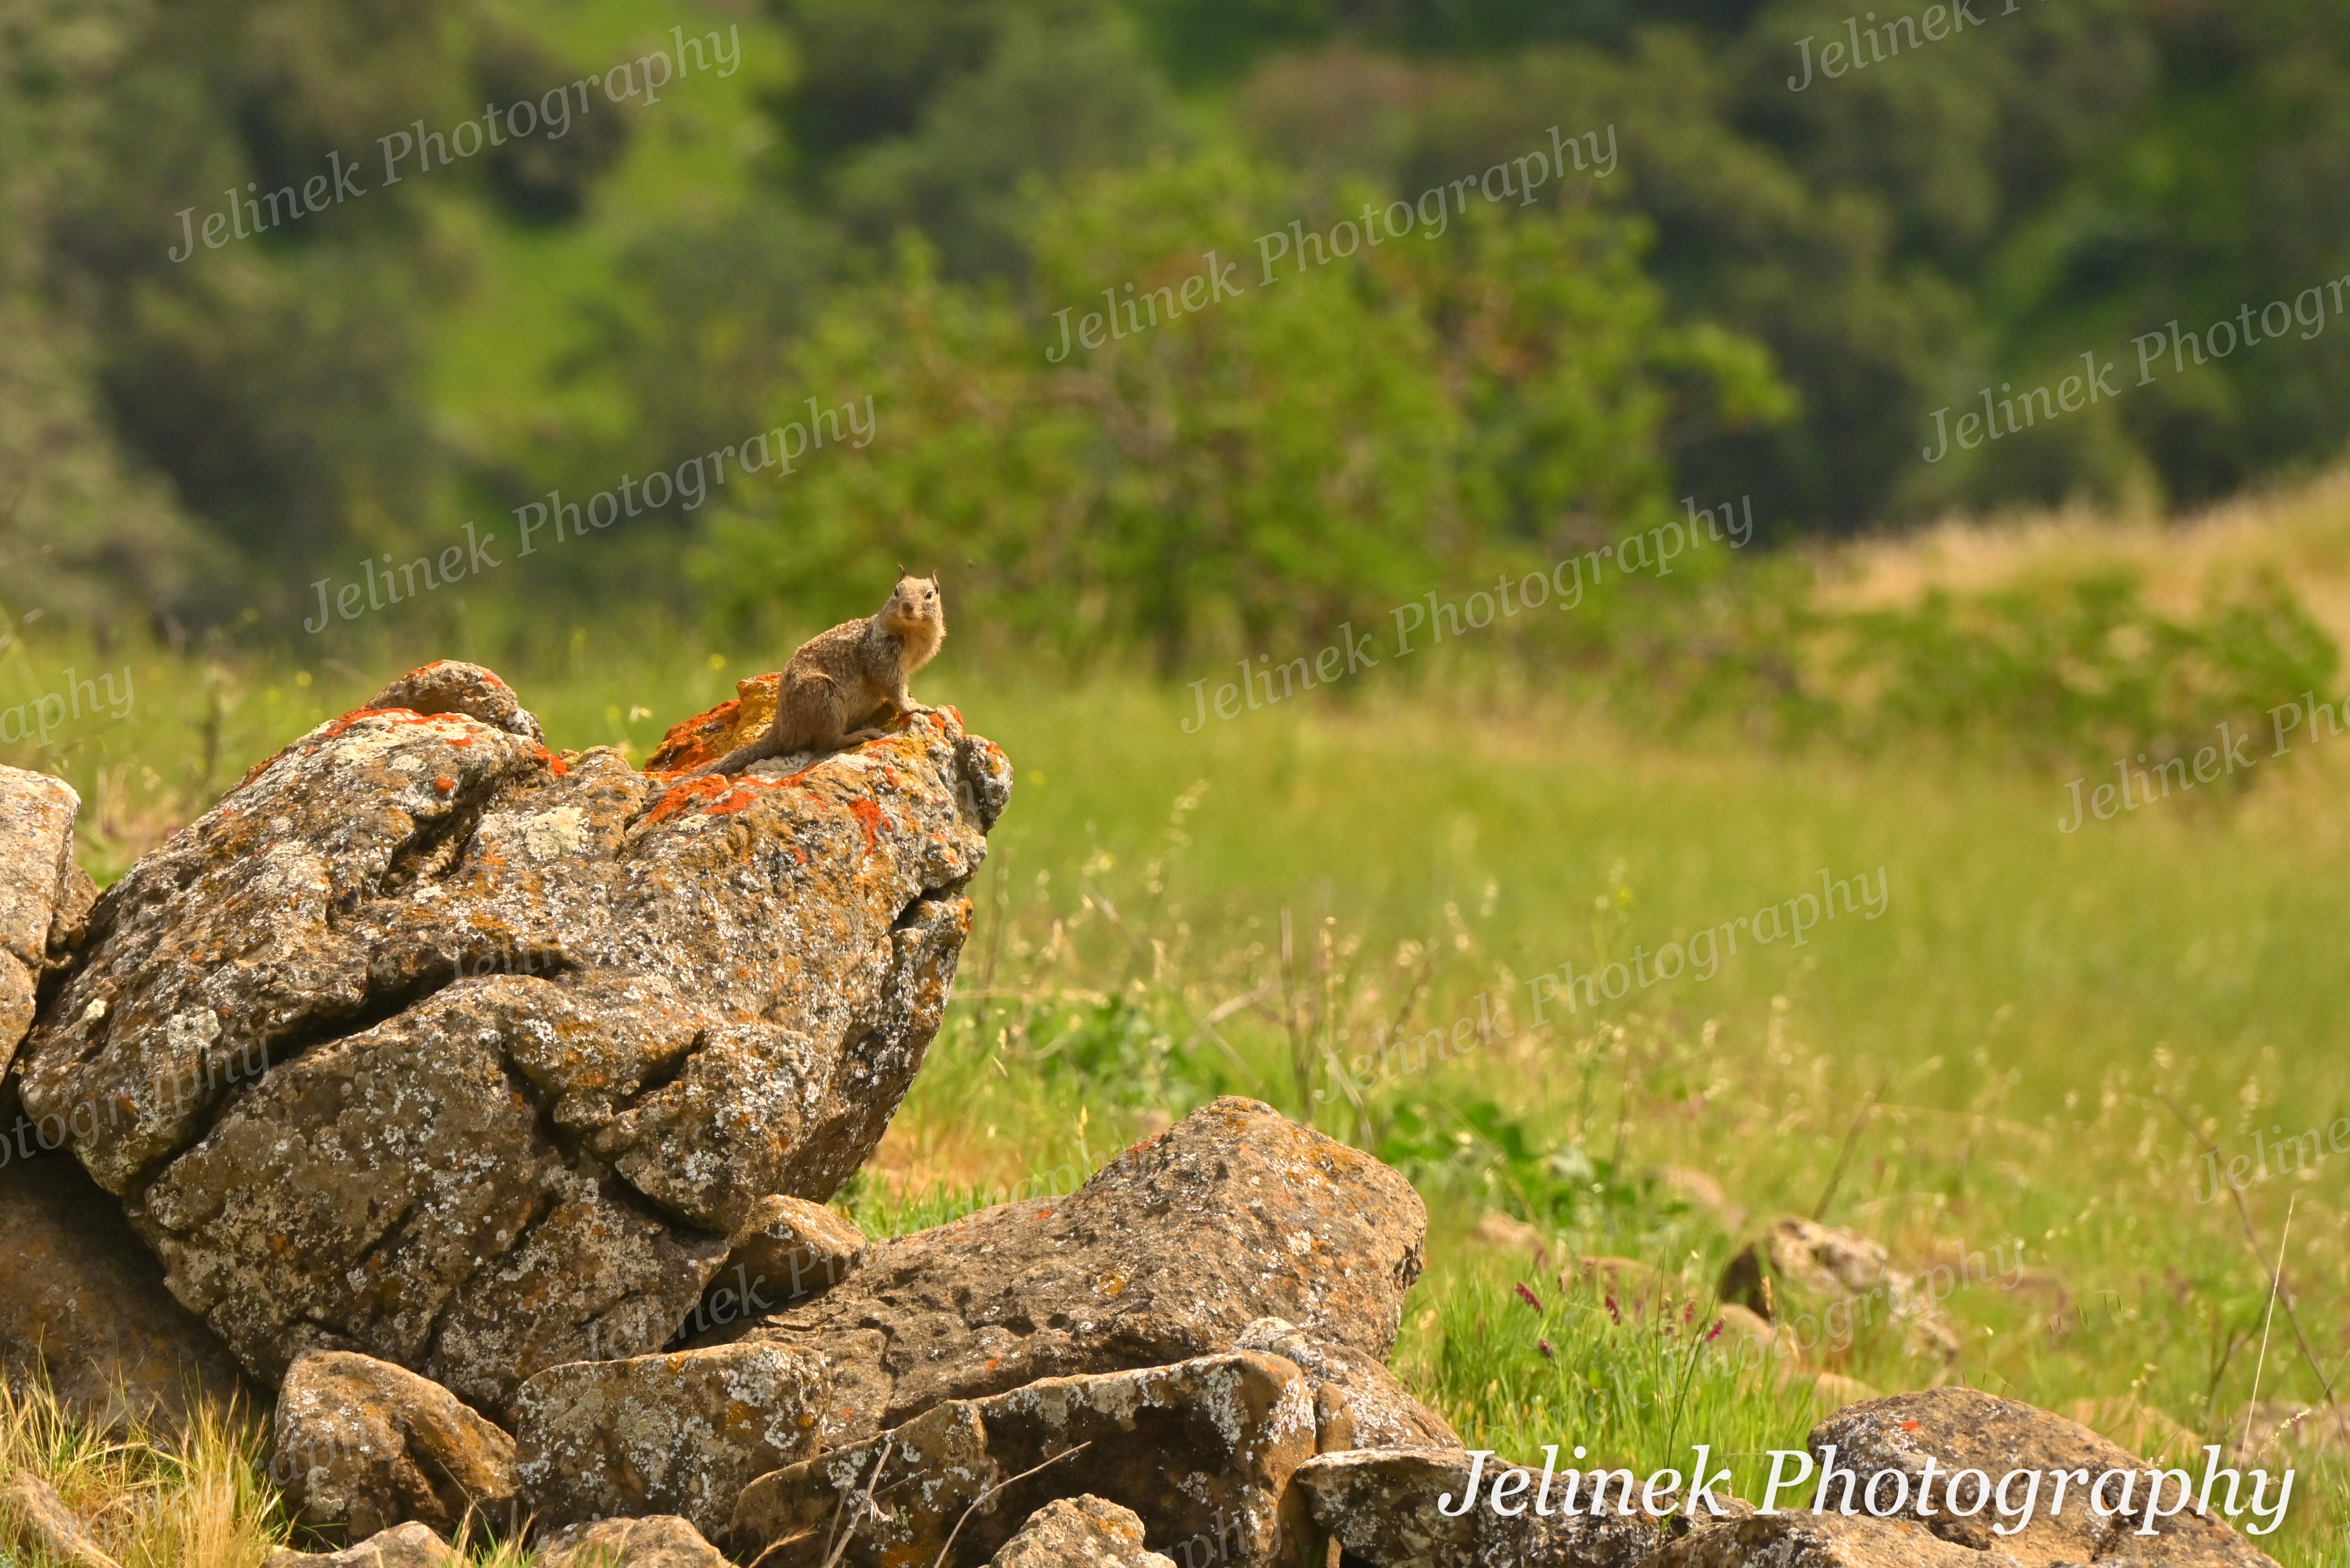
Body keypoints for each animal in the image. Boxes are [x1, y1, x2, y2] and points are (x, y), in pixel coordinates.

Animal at [690, 574, 946, 778]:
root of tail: (783, 728)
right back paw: (861, 735)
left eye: (930, 594)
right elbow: (893, 688)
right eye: (896, 591)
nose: (908, 606)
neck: (912, 635)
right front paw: (914, 707)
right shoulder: (883, 659)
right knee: (828, 742)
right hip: (824, 698)